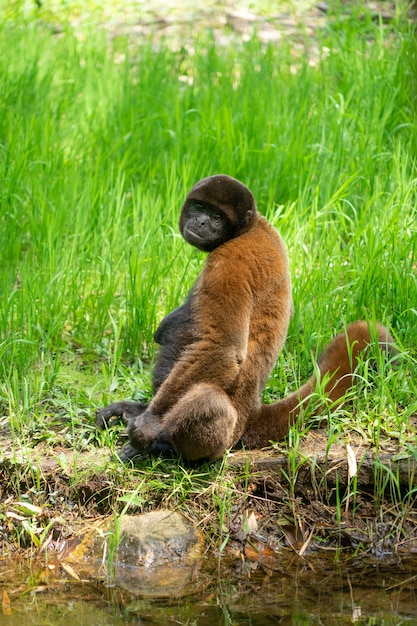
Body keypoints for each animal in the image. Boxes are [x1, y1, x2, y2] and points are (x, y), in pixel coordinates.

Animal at [96, 173, 394, 460]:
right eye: (200, 207)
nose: (201, 221)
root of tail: (252, 413)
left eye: (217, 217)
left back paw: (165, 445)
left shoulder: (230, 261)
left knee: (208, 400)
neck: (249, 228)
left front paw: (148, 426)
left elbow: (221, 346)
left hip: (228, 434)